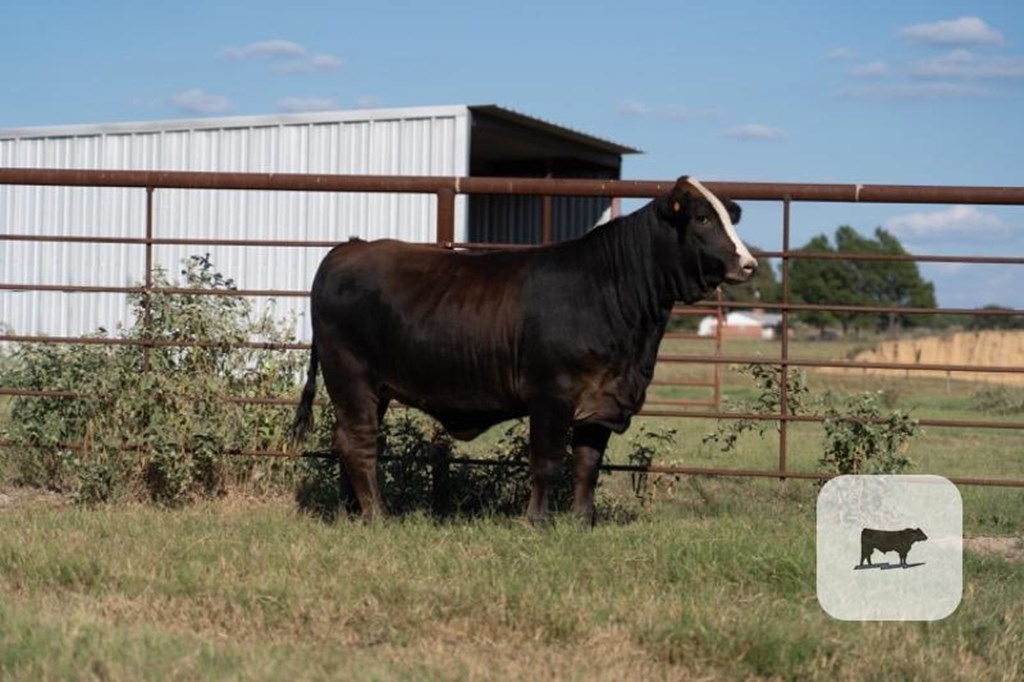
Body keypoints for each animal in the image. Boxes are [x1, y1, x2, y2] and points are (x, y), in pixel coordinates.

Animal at [292, 175, 757, 520]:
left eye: (726, 217)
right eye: (702, 218)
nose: (748, 263)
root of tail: (349, 247)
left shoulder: (601, 399)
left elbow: (587, 464)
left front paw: (581, 521)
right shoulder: (551, 394)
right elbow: (547, 461)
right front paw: (537, 521)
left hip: (373, 389)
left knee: (346, 440)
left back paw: (351, 511)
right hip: (350, 377)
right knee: (359, 442)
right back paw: (376, 515)